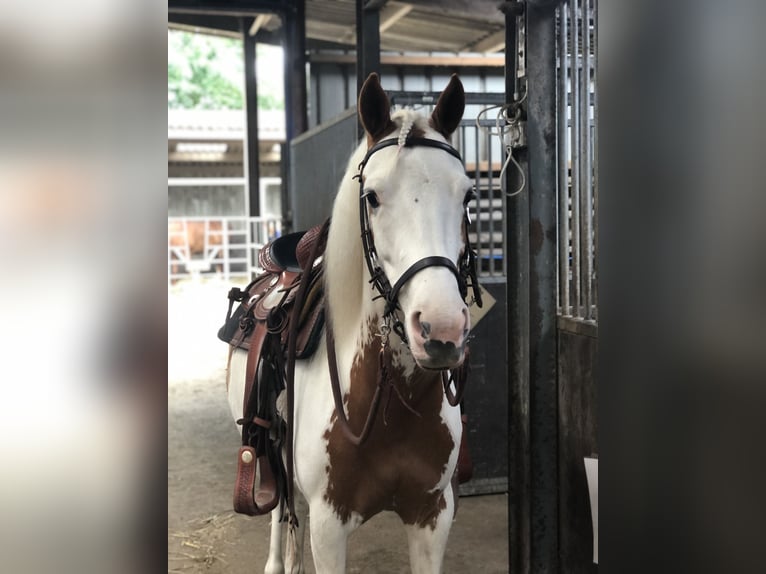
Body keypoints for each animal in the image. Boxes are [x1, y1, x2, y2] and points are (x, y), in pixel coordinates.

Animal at [226, 74, 480, 574]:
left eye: (466, 194)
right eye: (372, 197)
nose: (441, 332)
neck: (390, 402)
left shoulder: (432, 515)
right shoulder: (330, 525)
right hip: (267, 450)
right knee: (279, 510)